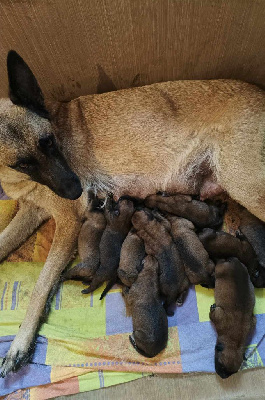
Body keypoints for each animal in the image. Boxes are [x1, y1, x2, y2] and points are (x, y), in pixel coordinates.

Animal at [0, 49, 264, 376]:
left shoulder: (67, 222)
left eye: (49, 142)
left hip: (245, 185)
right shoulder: (31, 211)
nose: (78, 191)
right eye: (23, 163)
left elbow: (41, 284)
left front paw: (19, 344)